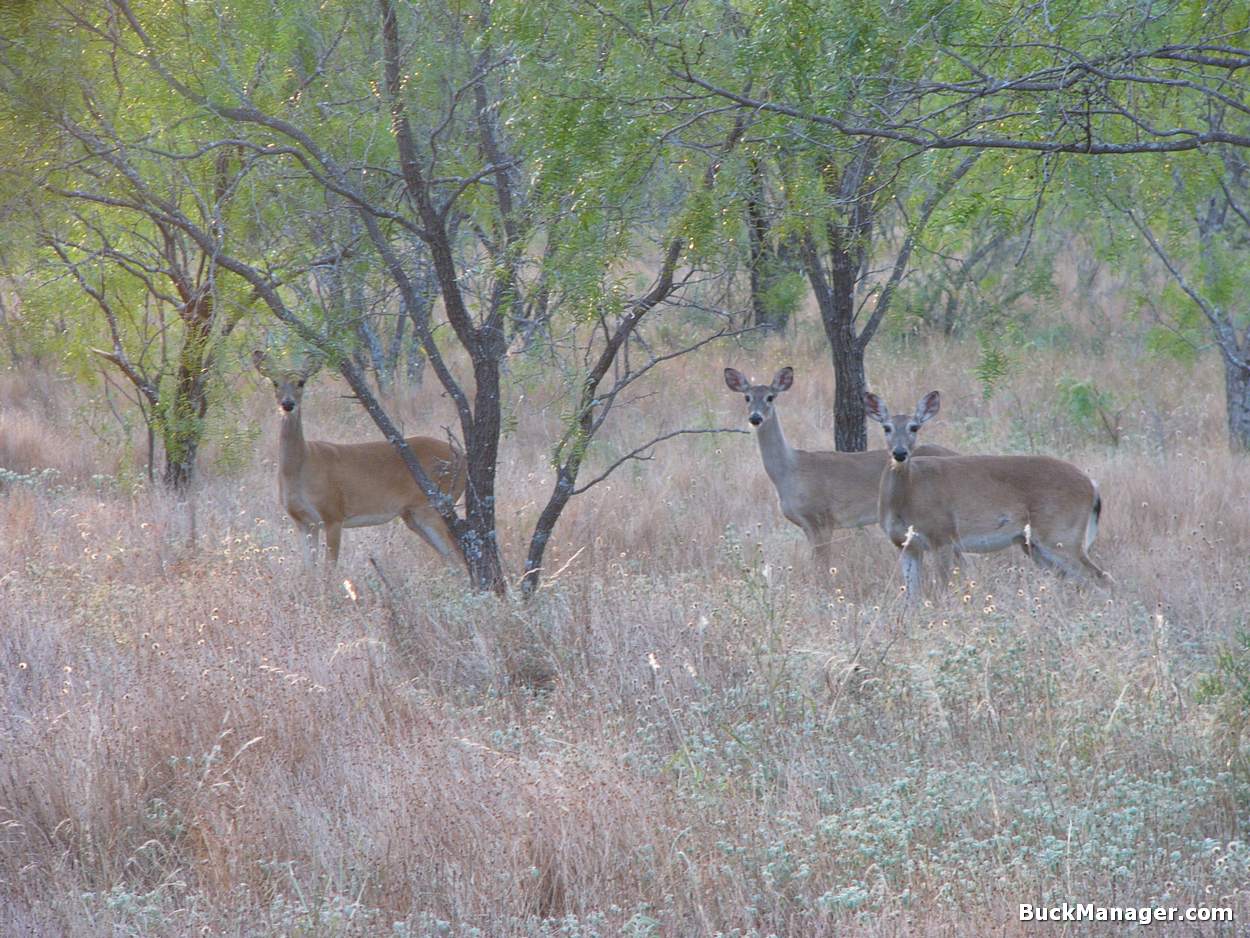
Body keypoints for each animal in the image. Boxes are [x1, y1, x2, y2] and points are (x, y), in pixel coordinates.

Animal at [251, 350, 467, 570]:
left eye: (301, 382)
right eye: (275, 382)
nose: (287, 404)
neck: (301, 466)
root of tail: (463, 455)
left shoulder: (333, 514)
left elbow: (329, 570)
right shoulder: (304, 522)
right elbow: (310, 571)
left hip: (433, 505)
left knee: (458, 556)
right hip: (412, 515)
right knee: (452, 558)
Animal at [725, 365, 955, 572]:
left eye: (771, 397)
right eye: (747, 397)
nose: (755, 418)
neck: (790, 470)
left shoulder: (822, 517)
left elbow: (822, 568)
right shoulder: (808, 525)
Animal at [860, 390, 1115, 602]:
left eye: (914, 427)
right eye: (886, 427)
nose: (900, 453)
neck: (907, 497)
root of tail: (1092, 486)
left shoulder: (942, 535)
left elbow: (944, 587)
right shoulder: (906, 544)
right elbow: (911, 597)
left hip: (1061, 533)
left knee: (1101, 578)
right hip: (1034, 545)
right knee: (1076, 580)